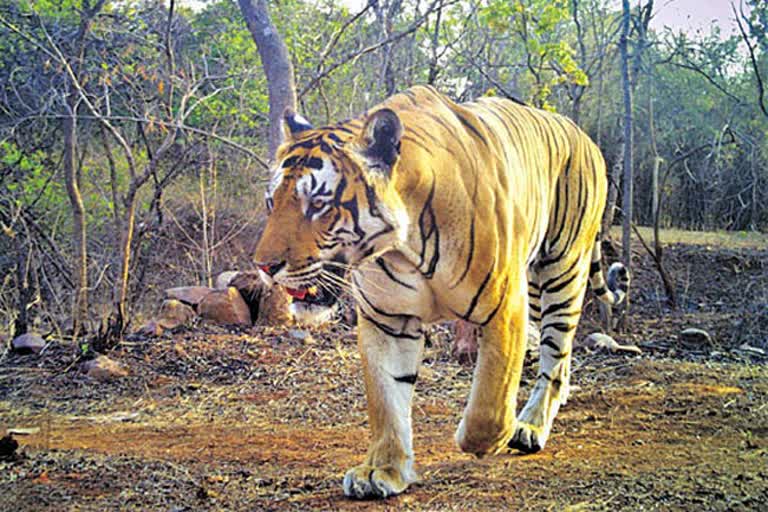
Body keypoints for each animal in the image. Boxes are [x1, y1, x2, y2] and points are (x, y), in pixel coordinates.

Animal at [255, 86, 628, 498]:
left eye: (319, 204)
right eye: (272, 202)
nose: (264, 266)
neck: (404, 249)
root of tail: (583, 135)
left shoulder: (504, 306)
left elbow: (489, 402)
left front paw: (485, 440)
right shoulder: (388, 320)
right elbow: (387, 401)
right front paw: (382, 470)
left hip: (563, 270)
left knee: (555, 351)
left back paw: (529, 426)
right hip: (535, 288)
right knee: (559, 354)